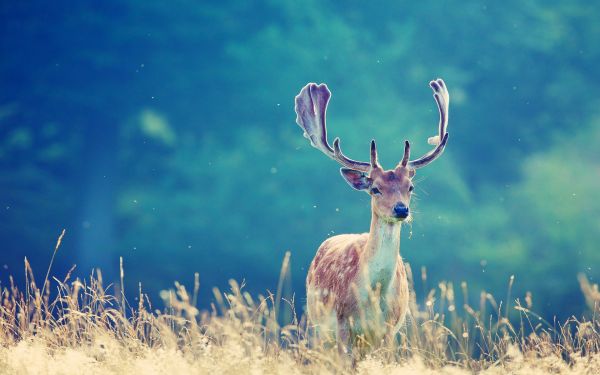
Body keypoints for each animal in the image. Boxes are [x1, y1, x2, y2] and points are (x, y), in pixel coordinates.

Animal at [296, 78, 450, 356]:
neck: (373, 295)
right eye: (375, 188)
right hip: (318, 325)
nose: (401, 209)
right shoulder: (342, 324)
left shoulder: (389, 329)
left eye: (410, 187)